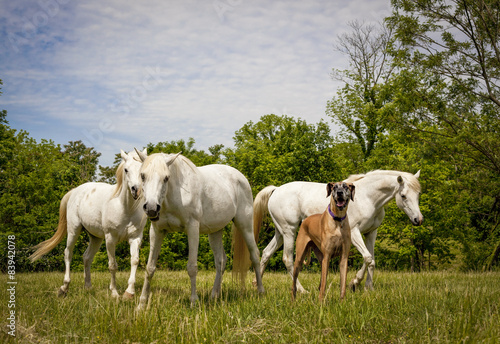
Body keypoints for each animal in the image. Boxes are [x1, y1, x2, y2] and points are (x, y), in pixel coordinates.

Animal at [29, 150, 147, 298]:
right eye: (126, 169)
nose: (136, 190)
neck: (125, 207)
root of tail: (75, 191)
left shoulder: (135, 238)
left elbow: (135, 261)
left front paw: (129, 293)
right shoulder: (110, 239)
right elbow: (112, 265)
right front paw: (114, 293)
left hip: (95, 238)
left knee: (87, 257)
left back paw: (88, 287)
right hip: (74, 231)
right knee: (68, 253)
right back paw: (64, 288)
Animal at [133, 150, 266, 310]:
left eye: (166, 178)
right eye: (143, 176)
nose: (152, 208)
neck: (174, 195)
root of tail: (241, 178)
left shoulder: (192, 229)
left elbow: (192, 267)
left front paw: (193, 302)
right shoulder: (157, 231)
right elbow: (150, 268)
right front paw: (141, 304)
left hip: (245, 225)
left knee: (255, 255)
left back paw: (260, 292)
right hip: (215, 231)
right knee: (221, 261)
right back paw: (214, 296)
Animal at [254, 169, 422, 292]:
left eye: (418, 194)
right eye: (403, 196)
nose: (418, 220)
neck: (367, 197)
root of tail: (276, 190)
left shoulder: (371, 233)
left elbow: (372, 260)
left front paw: (369, 287)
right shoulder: (354, 233)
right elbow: (367, 258)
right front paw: (355, 282)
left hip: (280, 232)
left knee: (266, 253)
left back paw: (257, 284)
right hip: (290, 231)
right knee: (288, 259)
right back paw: (301, 290)